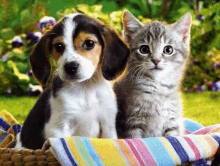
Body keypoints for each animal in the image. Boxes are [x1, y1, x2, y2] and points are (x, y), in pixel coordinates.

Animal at [18, 13, 131, 150]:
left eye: (89, 43)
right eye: (59, 46)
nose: (70, 67)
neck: (86, 89)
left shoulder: (108, 124)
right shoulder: (59, 128)